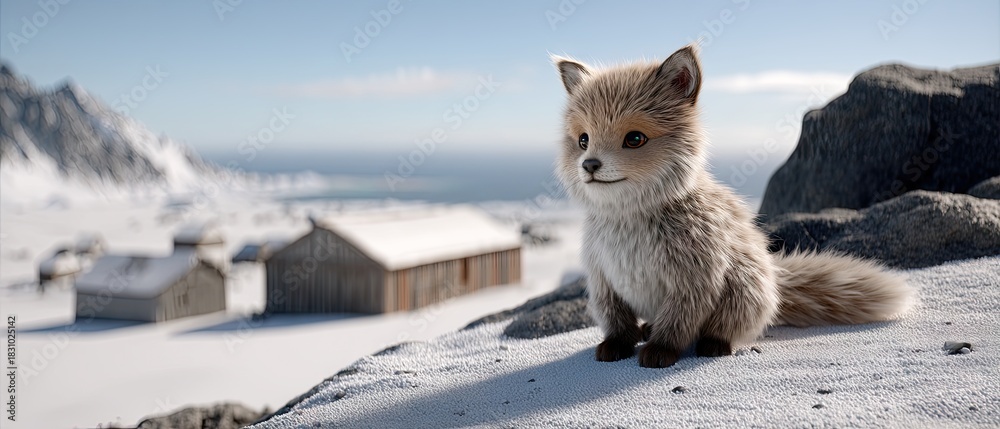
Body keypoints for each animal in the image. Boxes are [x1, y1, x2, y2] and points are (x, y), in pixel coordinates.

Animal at [553, 45, 915, 368]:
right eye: (583, 139)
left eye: (635, 139)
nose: (589, 165)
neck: (628, 225)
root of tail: (776, 279)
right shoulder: (602, 278)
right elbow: (616, 321)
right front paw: (617, 345)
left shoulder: (695, 279)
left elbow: (678, 323)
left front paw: (660, 351)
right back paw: (647, 328)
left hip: (744, 285)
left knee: (726, 329)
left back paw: (713, 344)